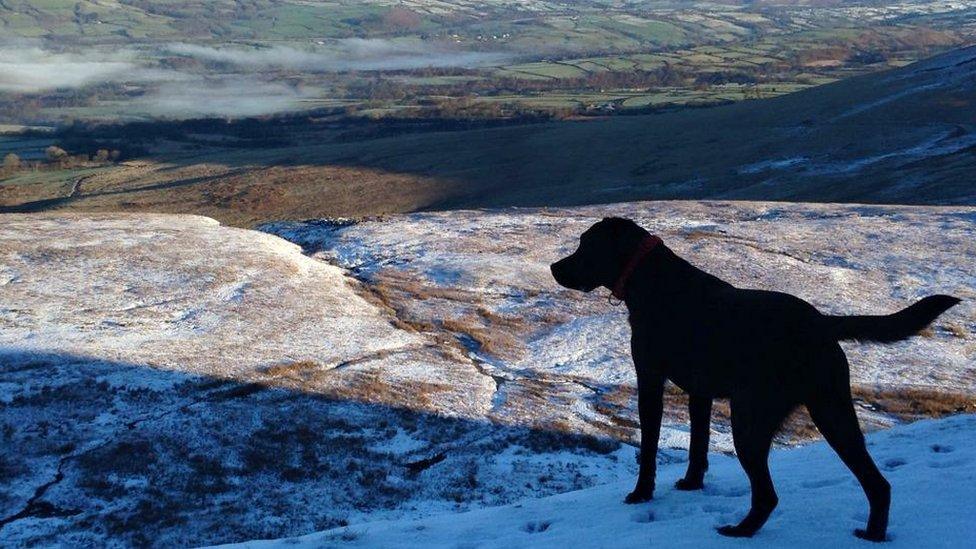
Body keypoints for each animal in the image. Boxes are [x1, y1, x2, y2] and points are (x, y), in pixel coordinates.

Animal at [548, 217, 960, 540]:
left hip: (750, 419)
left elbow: (649, 446)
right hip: (833, 410)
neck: (648, 278)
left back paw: (740, 530)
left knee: (767, 494)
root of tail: (821, 323)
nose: (554, 267)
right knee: (877, 483)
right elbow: (698, 445)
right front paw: (692, 484)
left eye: (584, 245)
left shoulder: (650, 380)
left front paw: (641, 493)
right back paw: (873, 534)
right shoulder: (700, 393)